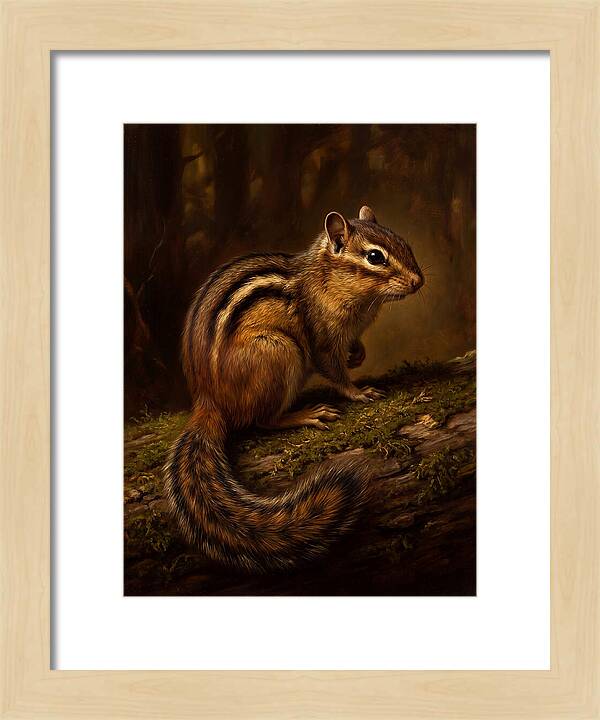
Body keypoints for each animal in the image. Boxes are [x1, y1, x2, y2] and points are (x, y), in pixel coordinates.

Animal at [164, 205, 424, 571]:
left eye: (405, 243)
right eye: (375, 257)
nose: (419, 281)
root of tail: (208, 401)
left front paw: (358, 355)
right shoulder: (322, 339)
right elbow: (334, 371)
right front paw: (359, 392)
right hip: (280, 352)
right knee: (262, 420)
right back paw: (305, 414)